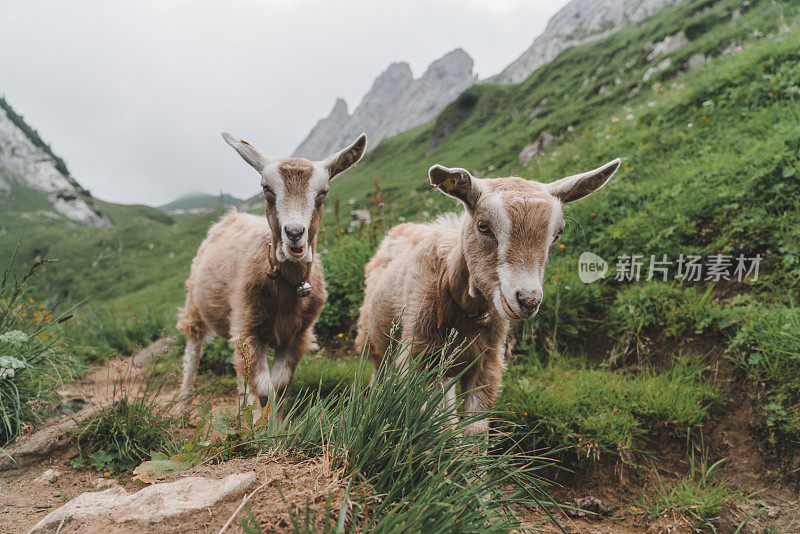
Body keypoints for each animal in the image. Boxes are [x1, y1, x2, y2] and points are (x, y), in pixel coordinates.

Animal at [177, 132, 366, 416]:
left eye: (323, 192)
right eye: (267, 189)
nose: (295, 234)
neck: (286, 285)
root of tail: (232, 216)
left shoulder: (297, 336)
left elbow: (279, 386)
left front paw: (274, 424)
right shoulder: (249, 328)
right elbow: (265, 391)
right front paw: (260, 426)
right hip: (197, 304)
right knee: (193, 348)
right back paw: (183, 404)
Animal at [354, 160, 620, 436]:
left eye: (557, 234)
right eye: (483, 226)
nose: (528, 300)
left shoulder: (486, 366)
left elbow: (475, 432)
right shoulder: (418, 357)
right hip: (374, 340)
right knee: (378, 374)